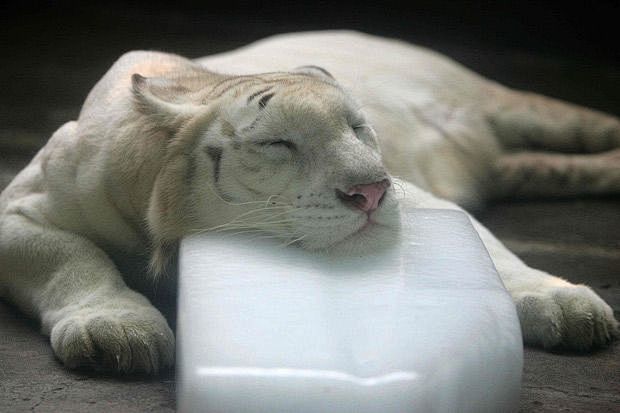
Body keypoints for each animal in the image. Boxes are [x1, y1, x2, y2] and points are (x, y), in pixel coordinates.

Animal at [0, 31, 616, 374]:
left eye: (358, 128)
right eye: (279, 144)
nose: (372, 191)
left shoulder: (418, 196)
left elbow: (495, 255)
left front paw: (562, 302)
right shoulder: (22, 208)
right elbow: (72, 257)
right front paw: (117, 330)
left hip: (521, 107)